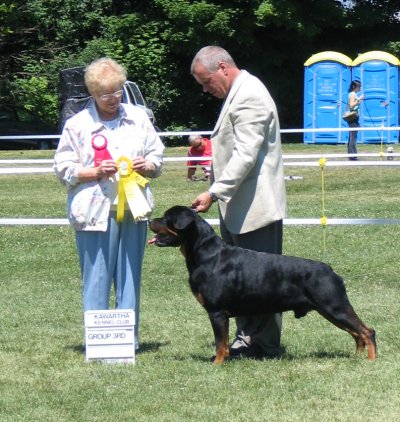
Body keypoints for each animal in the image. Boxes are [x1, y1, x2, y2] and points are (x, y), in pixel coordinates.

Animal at [148, 206, 377, 364]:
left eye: (167, 218)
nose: (149, 219)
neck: (205, 254)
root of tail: (329, 269)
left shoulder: (217, 312)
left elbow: (220, 344)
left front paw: (217, 363)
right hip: (330, 310)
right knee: (356, 333)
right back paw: (357, 357)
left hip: (334, 306)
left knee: (367, 331)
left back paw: (370, 359)